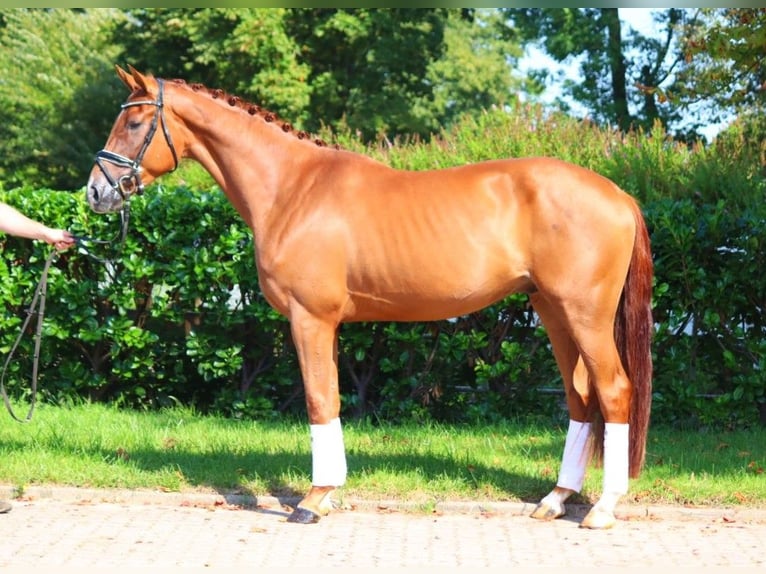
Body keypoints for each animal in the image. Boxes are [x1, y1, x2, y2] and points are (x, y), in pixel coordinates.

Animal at [88, 66, 656, 532]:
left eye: (135, 123)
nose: (95, 192)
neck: (292, 188)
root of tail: (619, 195)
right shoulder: (327, 324)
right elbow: (333, 397)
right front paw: (329, 493)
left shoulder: (310, 319)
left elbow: (319, 400)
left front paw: (313, 500)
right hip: (552, 312)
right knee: (580, 396)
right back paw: (556, 499)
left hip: (585, 315)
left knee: (613, 390)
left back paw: (603, 508)